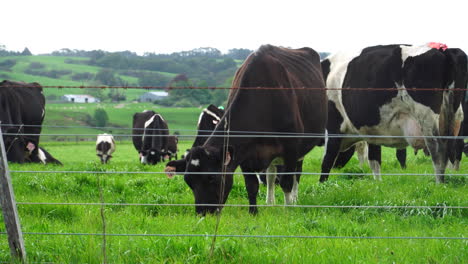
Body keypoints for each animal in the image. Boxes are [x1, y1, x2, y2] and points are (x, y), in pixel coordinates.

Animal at [166, 44, 328, 214]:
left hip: (301, 148)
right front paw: (253, 212)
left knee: (297, 173)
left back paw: (294, 200)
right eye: (188, 180)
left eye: (212, 177)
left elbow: (286, 182)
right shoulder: (245, 152)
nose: (202, 212)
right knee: (271, 175)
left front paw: (288, 209)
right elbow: (252, 186)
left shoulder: (291, 149)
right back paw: (270, 202)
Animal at [320, 43, 466, 184]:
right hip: (451, 121)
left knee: (438, 150)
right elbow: (374, 159)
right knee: (451, 149)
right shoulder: (372, 130)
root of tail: (443, 51)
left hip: (427, 119)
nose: (337, 167)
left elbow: (327, 160)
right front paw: (378, 183)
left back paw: (439, 183)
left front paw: (322, 185)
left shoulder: (333, 126)